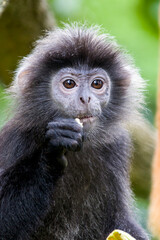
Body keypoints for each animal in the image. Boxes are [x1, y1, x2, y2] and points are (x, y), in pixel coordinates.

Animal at [0, 23, 149, 240]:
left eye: (97, 83)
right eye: (69, 83)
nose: (85, 98)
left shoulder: (116, 146)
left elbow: (120, 223)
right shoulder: (17, 139)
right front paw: (51, 154)